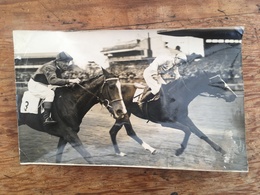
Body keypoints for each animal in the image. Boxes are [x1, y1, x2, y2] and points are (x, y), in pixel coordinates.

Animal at [108, 70, 237, 157]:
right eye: (219, 82)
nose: (234, 96)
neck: (177, 95)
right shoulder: (165, 121)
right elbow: (187, 130)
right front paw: (180, 150)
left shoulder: (184, 118)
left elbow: (200, 133)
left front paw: (221, 150)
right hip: (123, 114)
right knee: (126, 131)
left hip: (124, 114)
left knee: (114, 132)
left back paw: (119, 152)